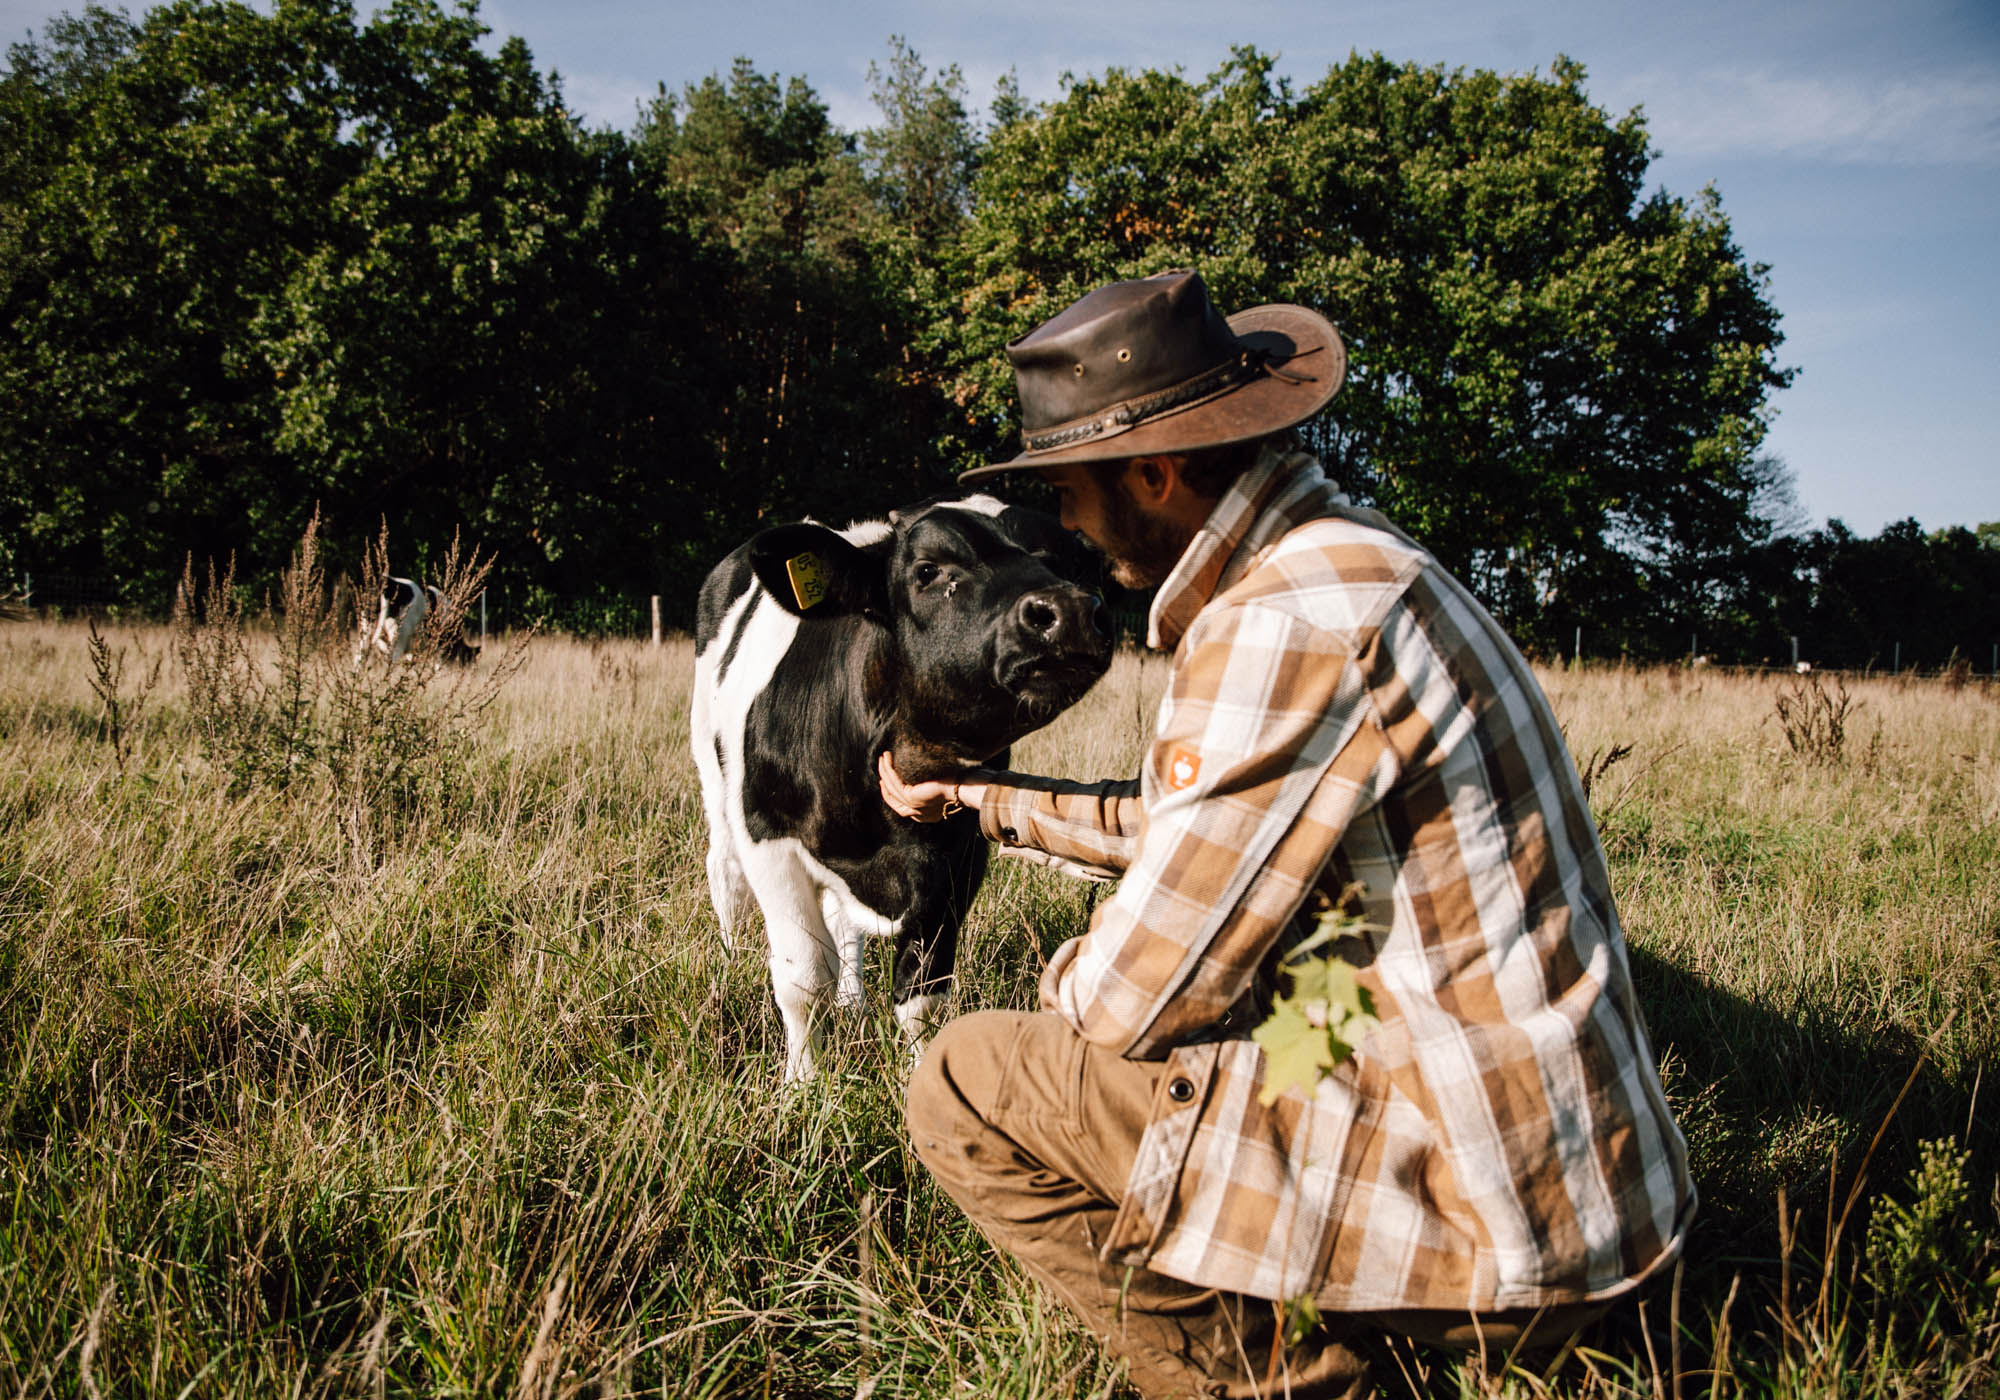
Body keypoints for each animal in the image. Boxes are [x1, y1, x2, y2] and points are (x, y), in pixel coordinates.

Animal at [696, 492, 1120, 1080]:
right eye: (928, 571)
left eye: (1068, 563)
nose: (1073, 612)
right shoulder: (770, 842)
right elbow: (803, 980)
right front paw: (803, 1083)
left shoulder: (958, 856)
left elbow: (923, 988)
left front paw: (922, 1073)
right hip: (715, 785)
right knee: (725, 875)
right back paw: (731, 965)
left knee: (843, 923)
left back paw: (853, 1000)